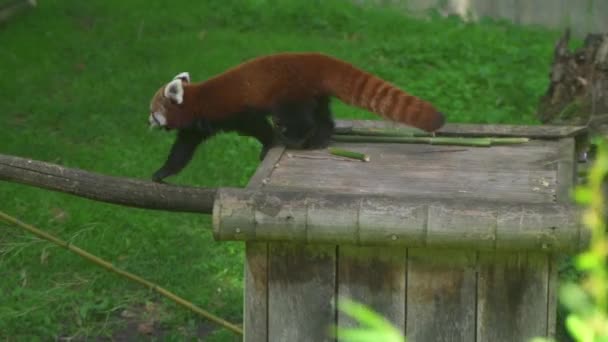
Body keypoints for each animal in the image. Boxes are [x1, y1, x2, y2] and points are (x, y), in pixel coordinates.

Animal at [145, 51, 444, 182]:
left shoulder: (233, 111)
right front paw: (162, 172)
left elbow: (257, 125)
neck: (197, 101)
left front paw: (268, 144)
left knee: (299, 118)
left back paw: (296, 137)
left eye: (152, 112)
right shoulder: (197, 125)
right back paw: (320, 139)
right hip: (314, 93)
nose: (147, 122)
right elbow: (183, 149)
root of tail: (313, 58)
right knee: (323, 116)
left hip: (290, 92)